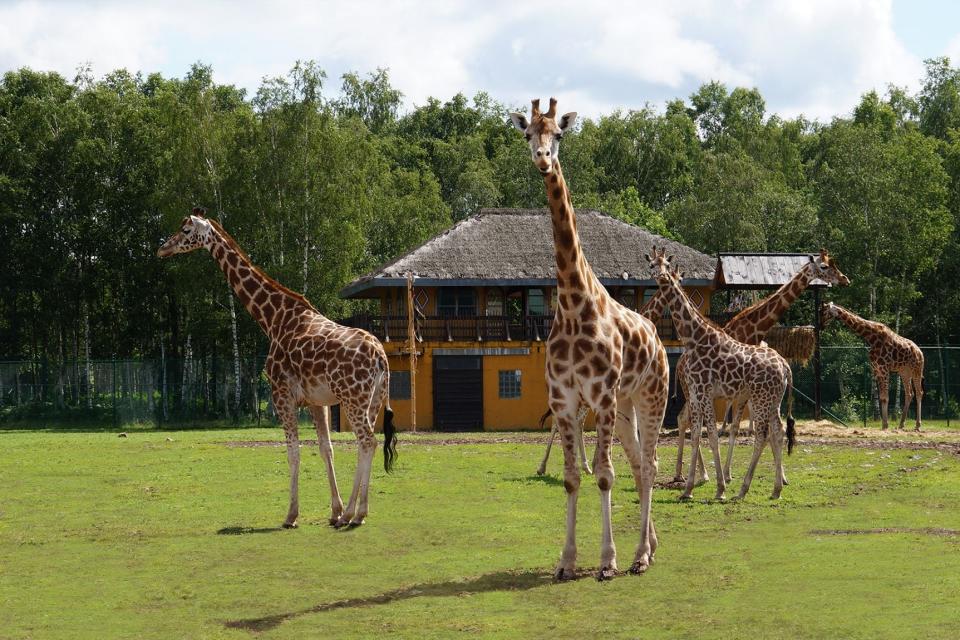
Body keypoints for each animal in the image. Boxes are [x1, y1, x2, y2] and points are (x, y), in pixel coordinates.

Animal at [158, 208, 397, 528]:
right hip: (372, 400)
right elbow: (326, 449)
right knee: (365, 442)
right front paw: (333, 511)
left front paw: (291, 515)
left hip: (353, 399)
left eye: (185, 230)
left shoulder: (280, 393)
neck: (273, 319)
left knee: (368, 441)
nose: (162, 249)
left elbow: (293, 452)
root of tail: (381, 357)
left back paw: (356, 514)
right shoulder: (317, 401)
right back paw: (351, 513)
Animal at [647, 248, 795, 501]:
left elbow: (712, 437)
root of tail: (785, 366)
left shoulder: (704, 392)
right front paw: (688, 489)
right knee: (777, 432)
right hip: (773, 400)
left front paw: (720, 488)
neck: (694, 338)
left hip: (761, 399)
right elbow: (696, 434)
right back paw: (776, 489)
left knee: (762, 434)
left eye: (666, 264)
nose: (663, 277)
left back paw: (743, 490)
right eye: (652, 265)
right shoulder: (695, 393)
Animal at [674, 250, 849, 484]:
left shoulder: (745, 391)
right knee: (687, 419)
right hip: (692, 389)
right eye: (824, 266)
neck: (751, 329)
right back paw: (699, 474)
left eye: (833, 264)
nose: (845, 279)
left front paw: (779, 476)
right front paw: (727, 474)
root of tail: (679, 364)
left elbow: (744, 428)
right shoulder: (740, 391)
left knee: (685, 419)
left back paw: (685, 473)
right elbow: (735, 427)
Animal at [822, 302, 924, 431]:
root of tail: (920, 352)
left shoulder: (884, 368)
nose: (820, 326)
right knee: (909, 393)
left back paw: (918, 425)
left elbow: (885, 397)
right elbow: (881, 398)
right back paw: (901, 425)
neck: (870, 337)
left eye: (824, 312)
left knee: (919, 393)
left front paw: (885, 425)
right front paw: (884, 424)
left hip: (917, 370)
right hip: (904, 372)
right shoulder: (877, 369)